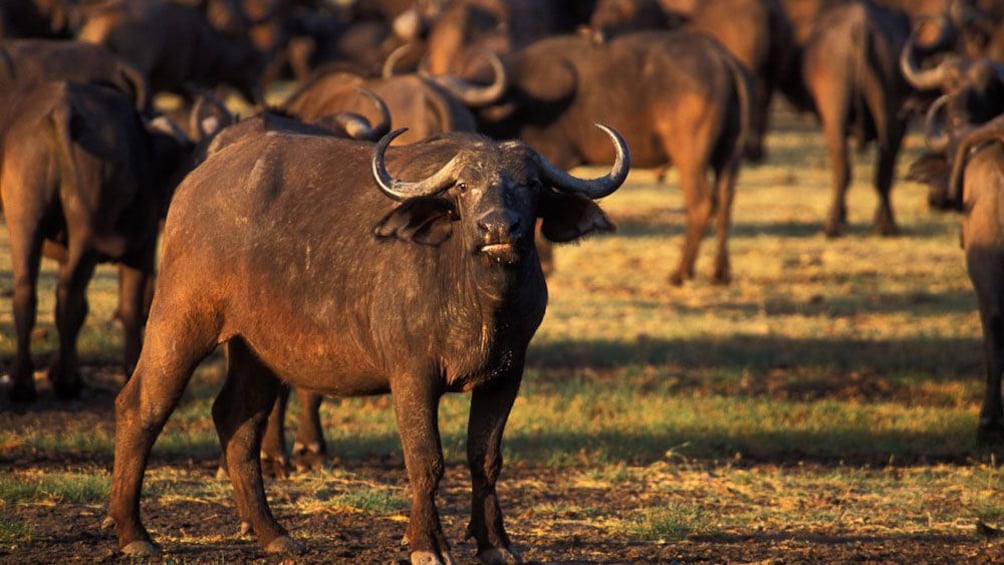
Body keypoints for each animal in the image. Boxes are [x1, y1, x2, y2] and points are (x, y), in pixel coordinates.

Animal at [0, 81, 193, 405]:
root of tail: (62, 107)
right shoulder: (141, 251)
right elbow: (130, 308)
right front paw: (130, 370)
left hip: (24, 218)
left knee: (29, 293)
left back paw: (23, 384)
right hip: (87, 236)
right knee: (69, 296)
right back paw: (68, 382)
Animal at [107, 122, 626, 561]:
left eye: (532, 185)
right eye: (463, 187)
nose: (498, 228)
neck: (480, 300)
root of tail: (195, 183)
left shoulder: (507, 374)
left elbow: (486, 459)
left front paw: (495, 543)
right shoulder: (412, 375)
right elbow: (426, 460)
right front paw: (427, 545)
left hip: (257, 349)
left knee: (237, 419)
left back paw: (275, 534)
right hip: (180, 317)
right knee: (142, 406)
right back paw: (135, 534)